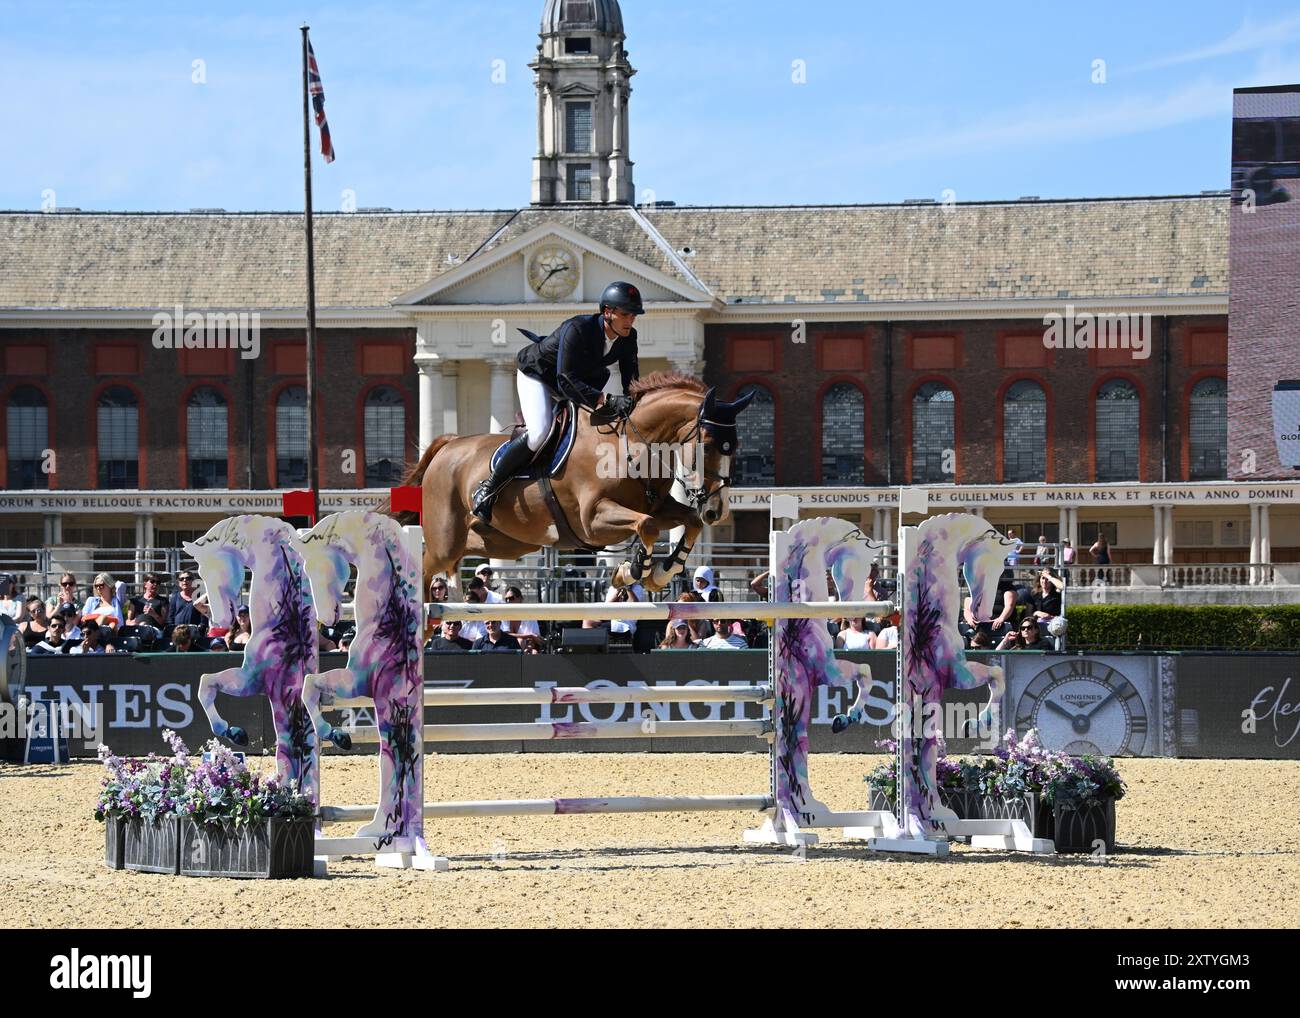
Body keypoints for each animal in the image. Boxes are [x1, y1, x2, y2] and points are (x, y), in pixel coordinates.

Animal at [400, 374, 759, 598]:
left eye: (737, 446)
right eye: (708, 446)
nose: (717, 510)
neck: (630, 446)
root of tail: (448, 445)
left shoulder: (659, 505)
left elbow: (689, 522)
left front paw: (660, 572)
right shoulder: (593, 520)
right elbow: (647, 525)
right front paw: (632, 571)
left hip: (504, 542)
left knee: (461, 558)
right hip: (447, 538)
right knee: (429, 563)